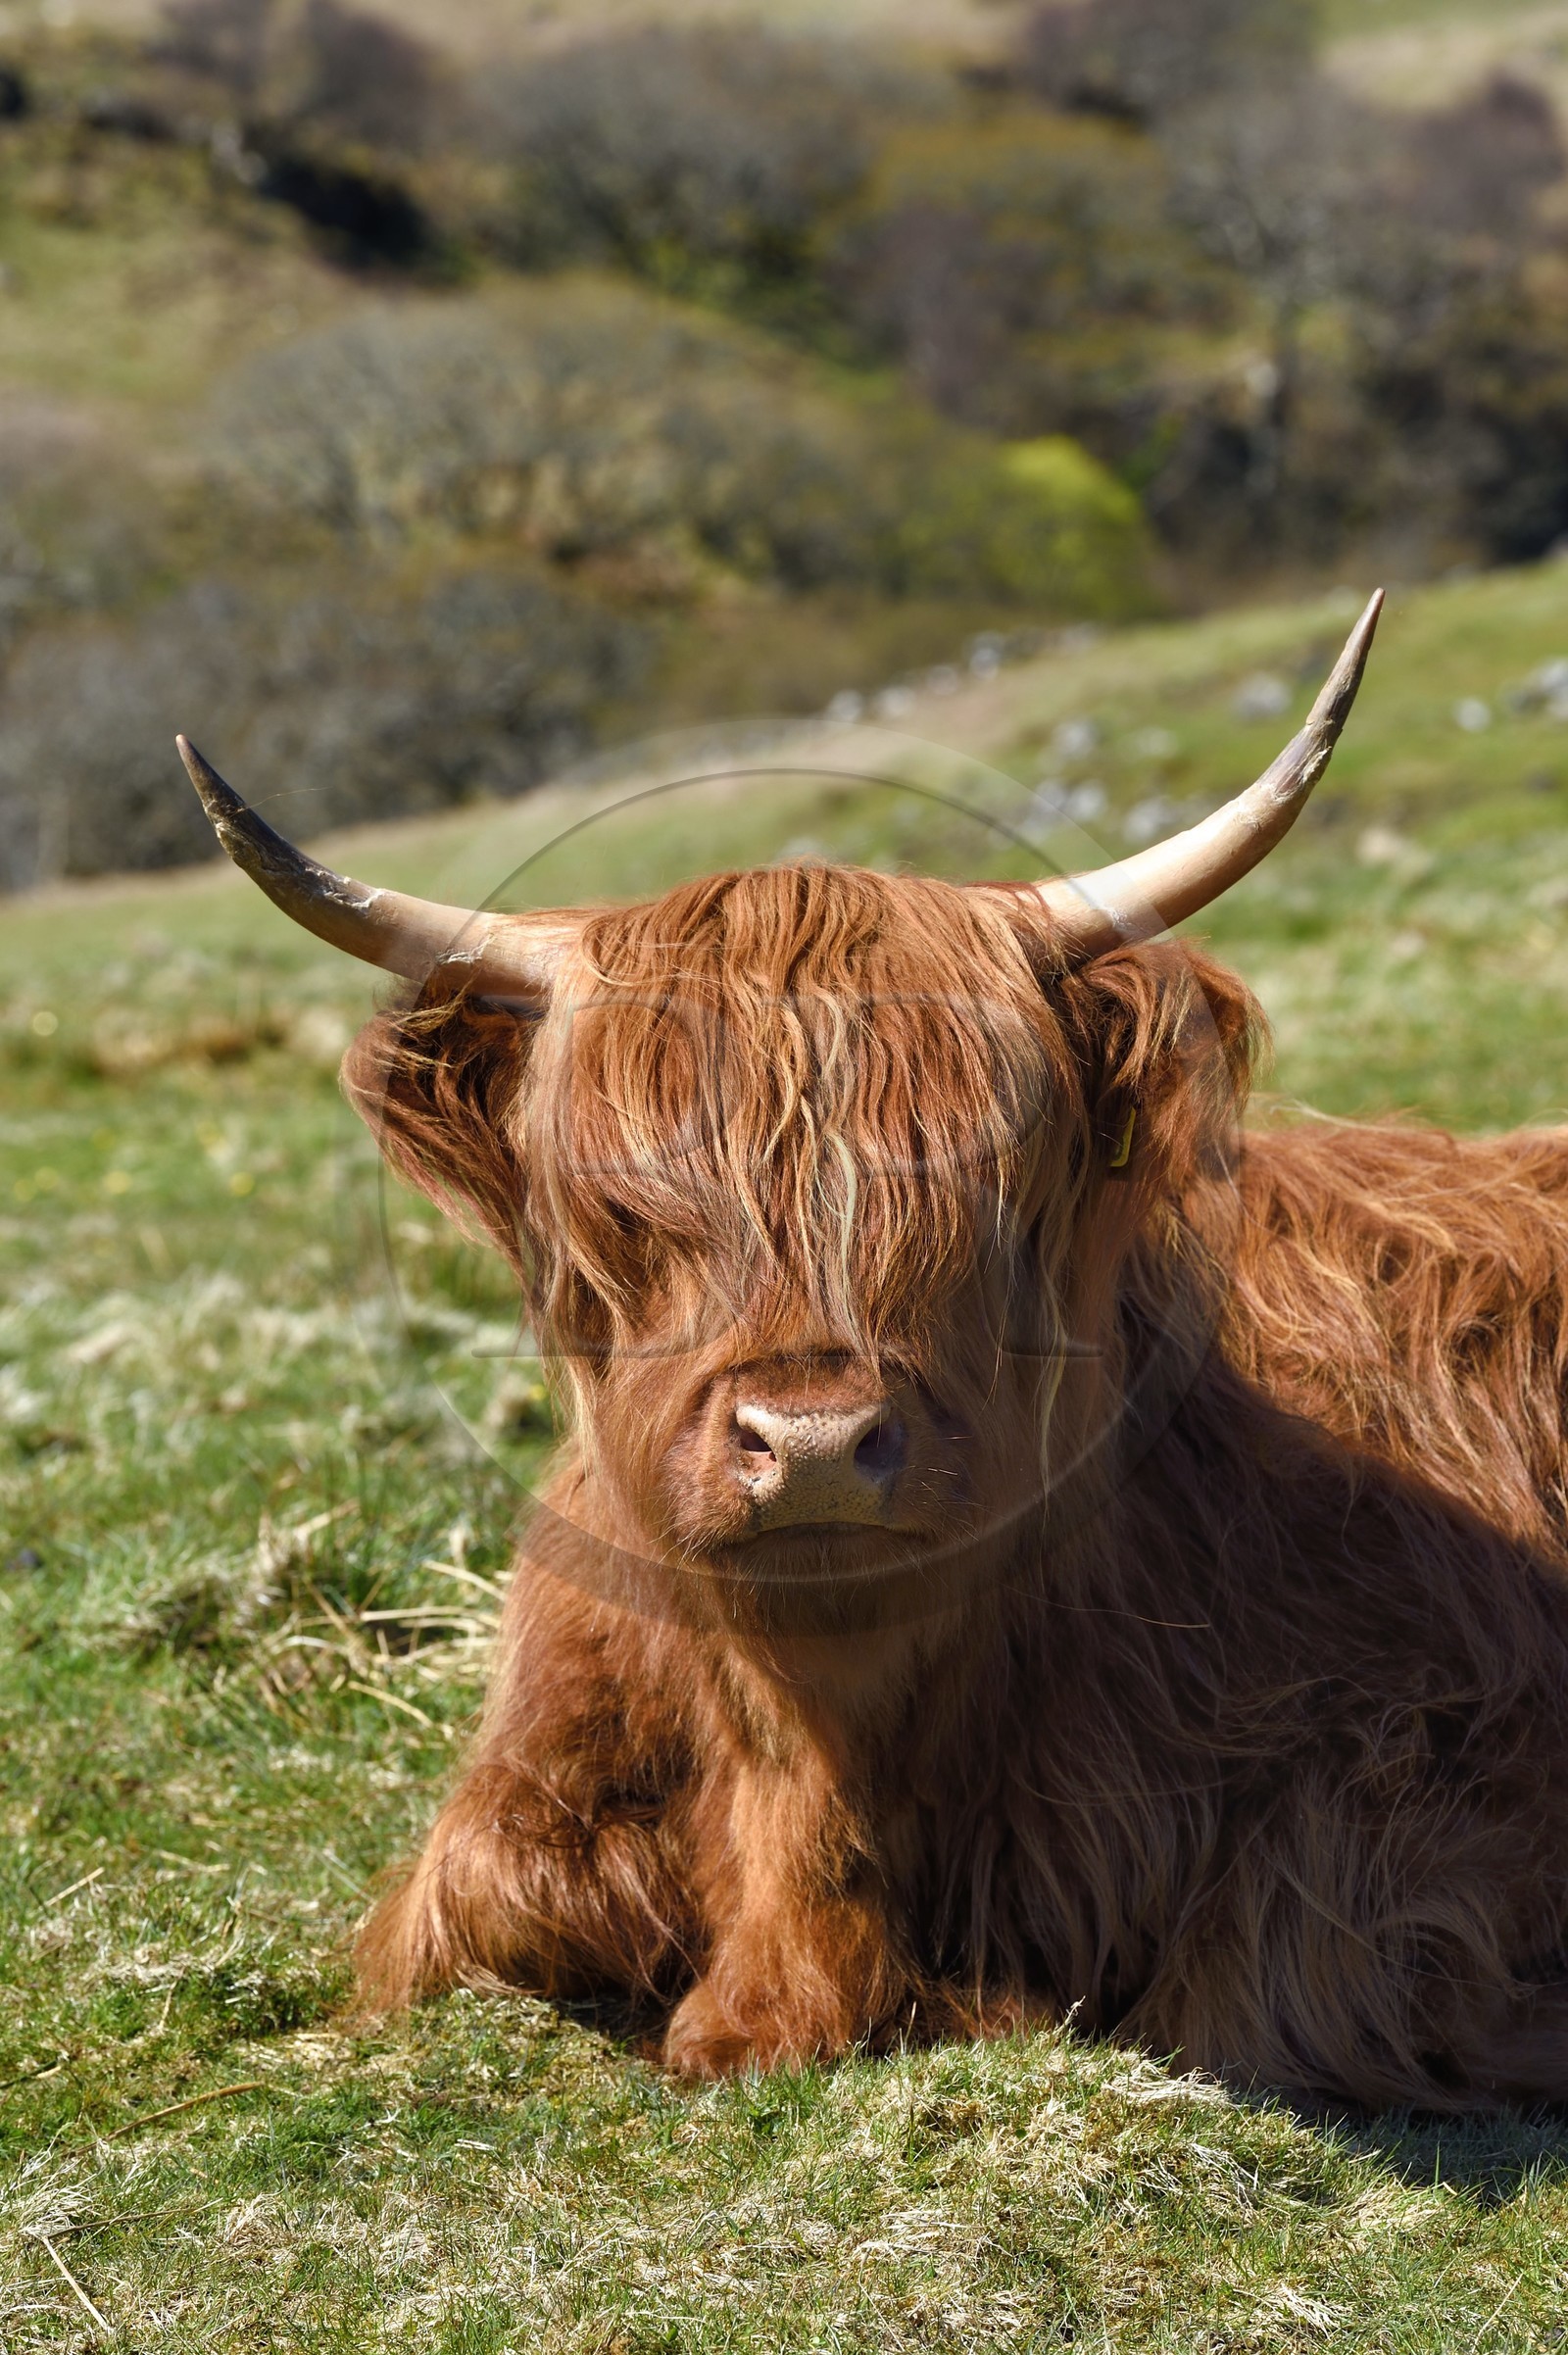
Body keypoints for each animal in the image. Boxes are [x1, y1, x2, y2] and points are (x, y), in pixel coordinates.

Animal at [178, 590, 1568, 2107]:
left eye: (988, 1181)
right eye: (618, 1204)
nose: (815, 1446)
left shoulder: (1421, 1758)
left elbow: (1251, 1961)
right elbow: (491, 1892)